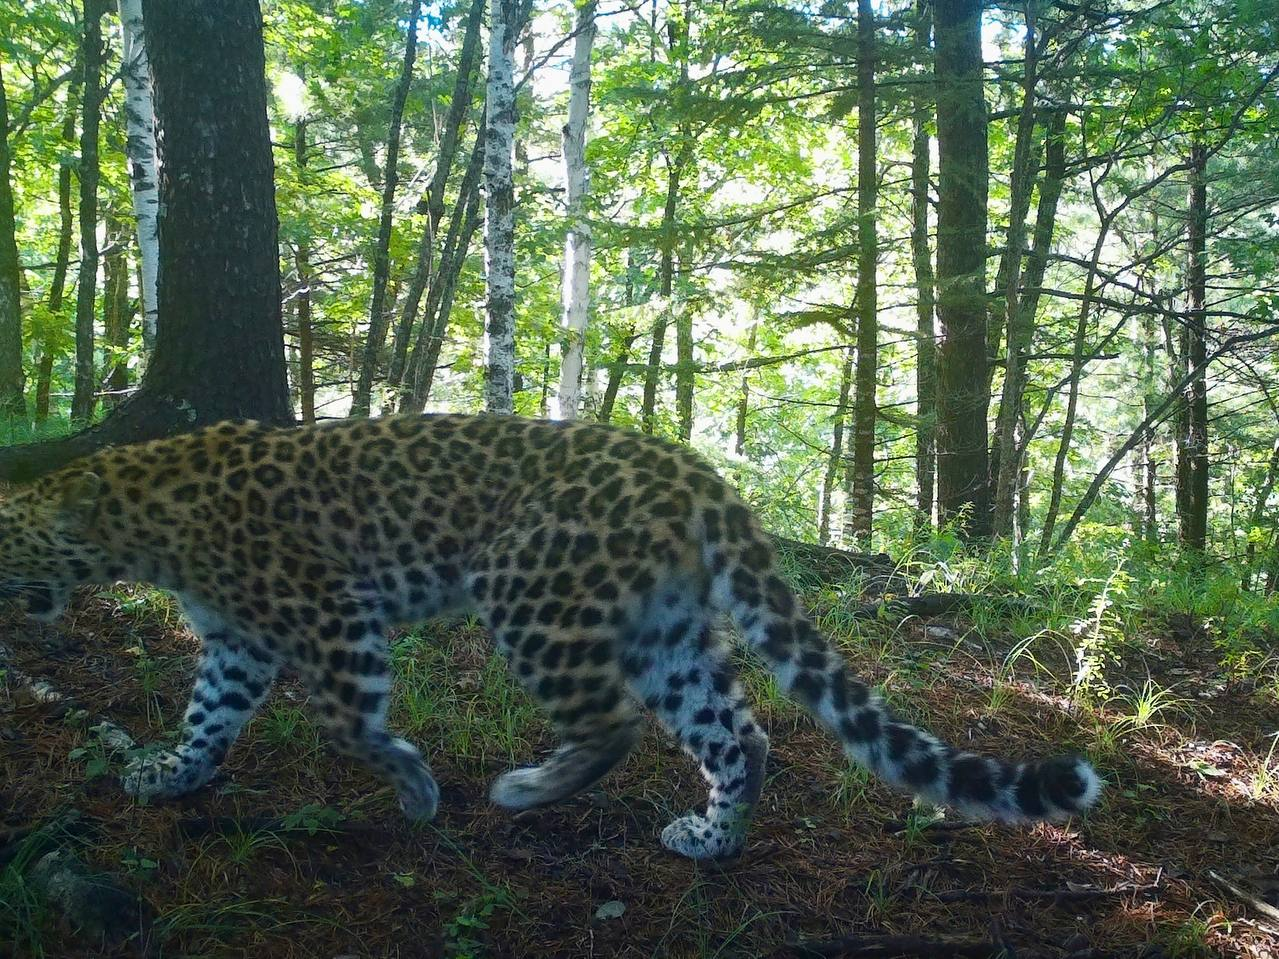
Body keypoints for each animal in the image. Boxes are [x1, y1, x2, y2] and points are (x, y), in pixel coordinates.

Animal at [0, 414, 1099, 864]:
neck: (122, 511)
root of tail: (694, 470)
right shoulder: (239, 640)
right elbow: (209, 716)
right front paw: (169, 774)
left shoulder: (329, 613)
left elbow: (346, 720)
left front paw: (415, 787)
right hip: (664, 629)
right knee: (738, 733)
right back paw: (712, 840)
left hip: (524, 587)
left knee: (611, 720)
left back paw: (527, 789)